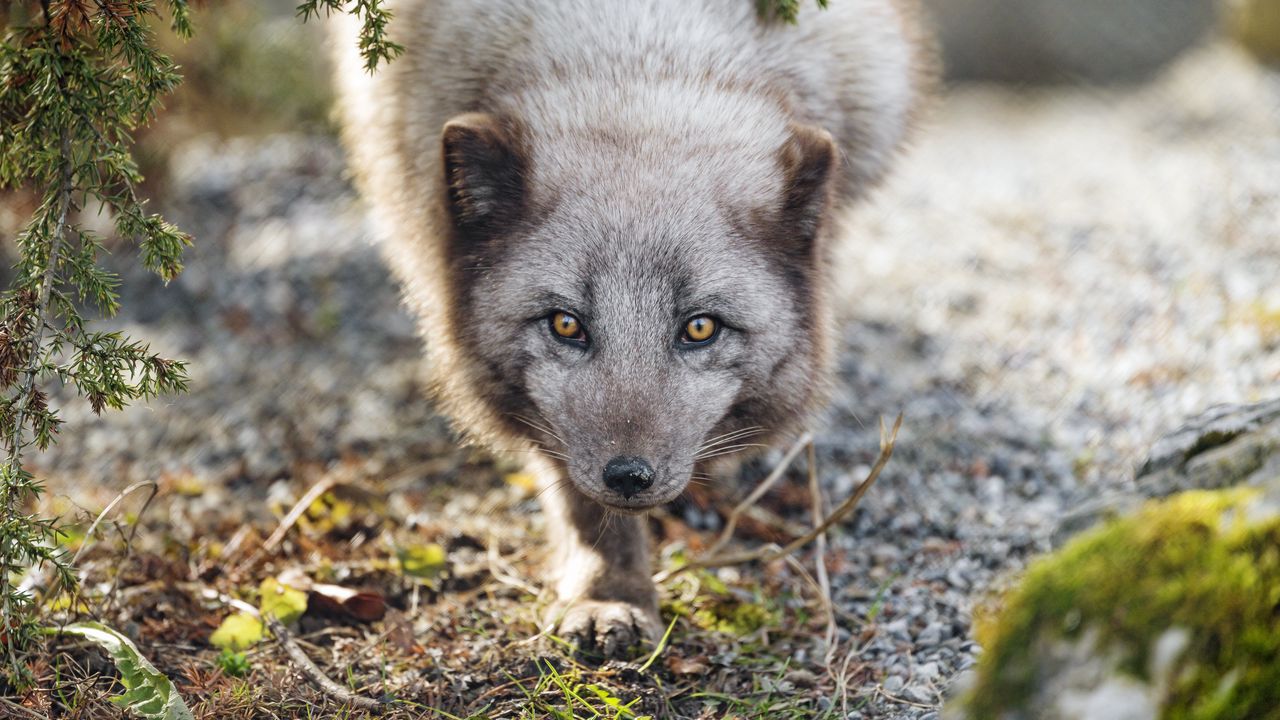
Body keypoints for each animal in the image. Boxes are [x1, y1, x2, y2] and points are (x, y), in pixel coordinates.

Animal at [330, 0, 931, 650]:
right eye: (566, 324)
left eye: (700, 328)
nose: (628, 477)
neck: (641, 57)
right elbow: (576, 494)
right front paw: (608, 595)